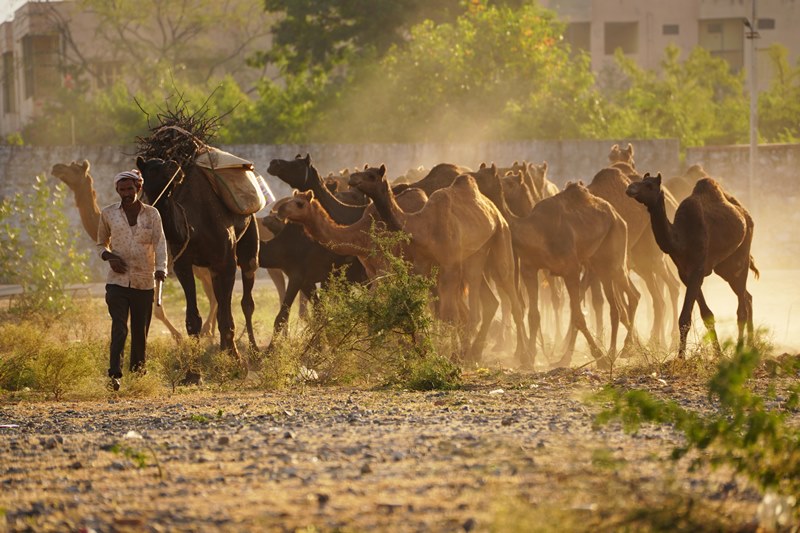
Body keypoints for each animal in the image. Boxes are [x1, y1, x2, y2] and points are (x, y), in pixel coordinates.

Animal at [51, 160, 215, 339]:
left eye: (74, 168)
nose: (56, 168)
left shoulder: (154, 270)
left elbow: (157, 310)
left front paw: (178, 337)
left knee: (213, 295)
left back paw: (208, 330)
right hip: (200, 268)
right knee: (212, 294)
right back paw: (211, 331)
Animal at [136, 157, 259, 359]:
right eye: (152, 168)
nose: (174, 166)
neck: (194, 227)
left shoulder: (227, 261)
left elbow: (226, 314)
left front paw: (235, 357)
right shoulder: (182, 264)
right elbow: (193, 319)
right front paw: (194, 363)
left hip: (249, 236)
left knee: (247, 297)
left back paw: (254, 349)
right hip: (211, 268)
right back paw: (223, 347)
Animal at [349, 165, 529, 366]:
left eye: (371, 176)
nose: (352, 178)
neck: (424, 227)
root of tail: (495, 210)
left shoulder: (450, 263)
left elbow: (449, 314)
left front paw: (448, 353)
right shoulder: (421, 264)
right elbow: (424, 307)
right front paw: (428, 349)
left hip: (501, 237)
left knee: (511, 294)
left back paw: (523, 357)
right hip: (477, 253)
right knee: (485, 298)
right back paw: (475, 353)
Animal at [626, 173, 758, 357]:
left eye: (649, 185)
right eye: (640, 181)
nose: (630, 188)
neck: (681, 240)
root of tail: (746, 215)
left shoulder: (698, 269)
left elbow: (685, 318)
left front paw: (681, 358)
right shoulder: (685, 272)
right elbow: (706, 315)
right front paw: (717, 354)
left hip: (741, 257)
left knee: (742, 308)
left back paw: (741, 350)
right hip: (724, 268)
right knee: (748, 296)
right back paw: (751, 347)